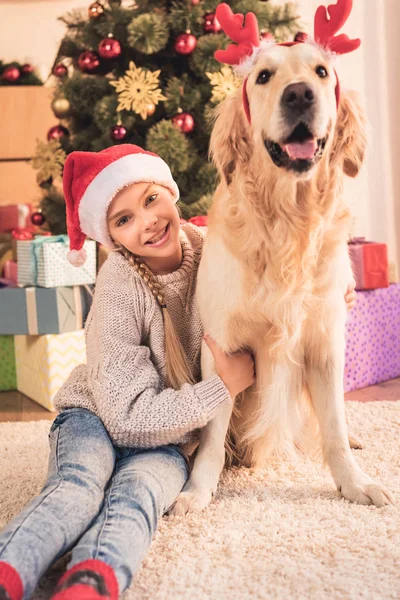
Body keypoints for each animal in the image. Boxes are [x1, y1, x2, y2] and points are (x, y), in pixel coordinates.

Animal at [170, 0, 394, 516]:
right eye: (264, 75)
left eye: (321, 72)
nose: (299, 95)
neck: (287, 224)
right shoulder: (223, 342)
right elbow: (213, 431)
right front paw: (197, 490)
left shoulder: (325, 340)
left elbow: (333, 425)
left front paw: (353, 482)